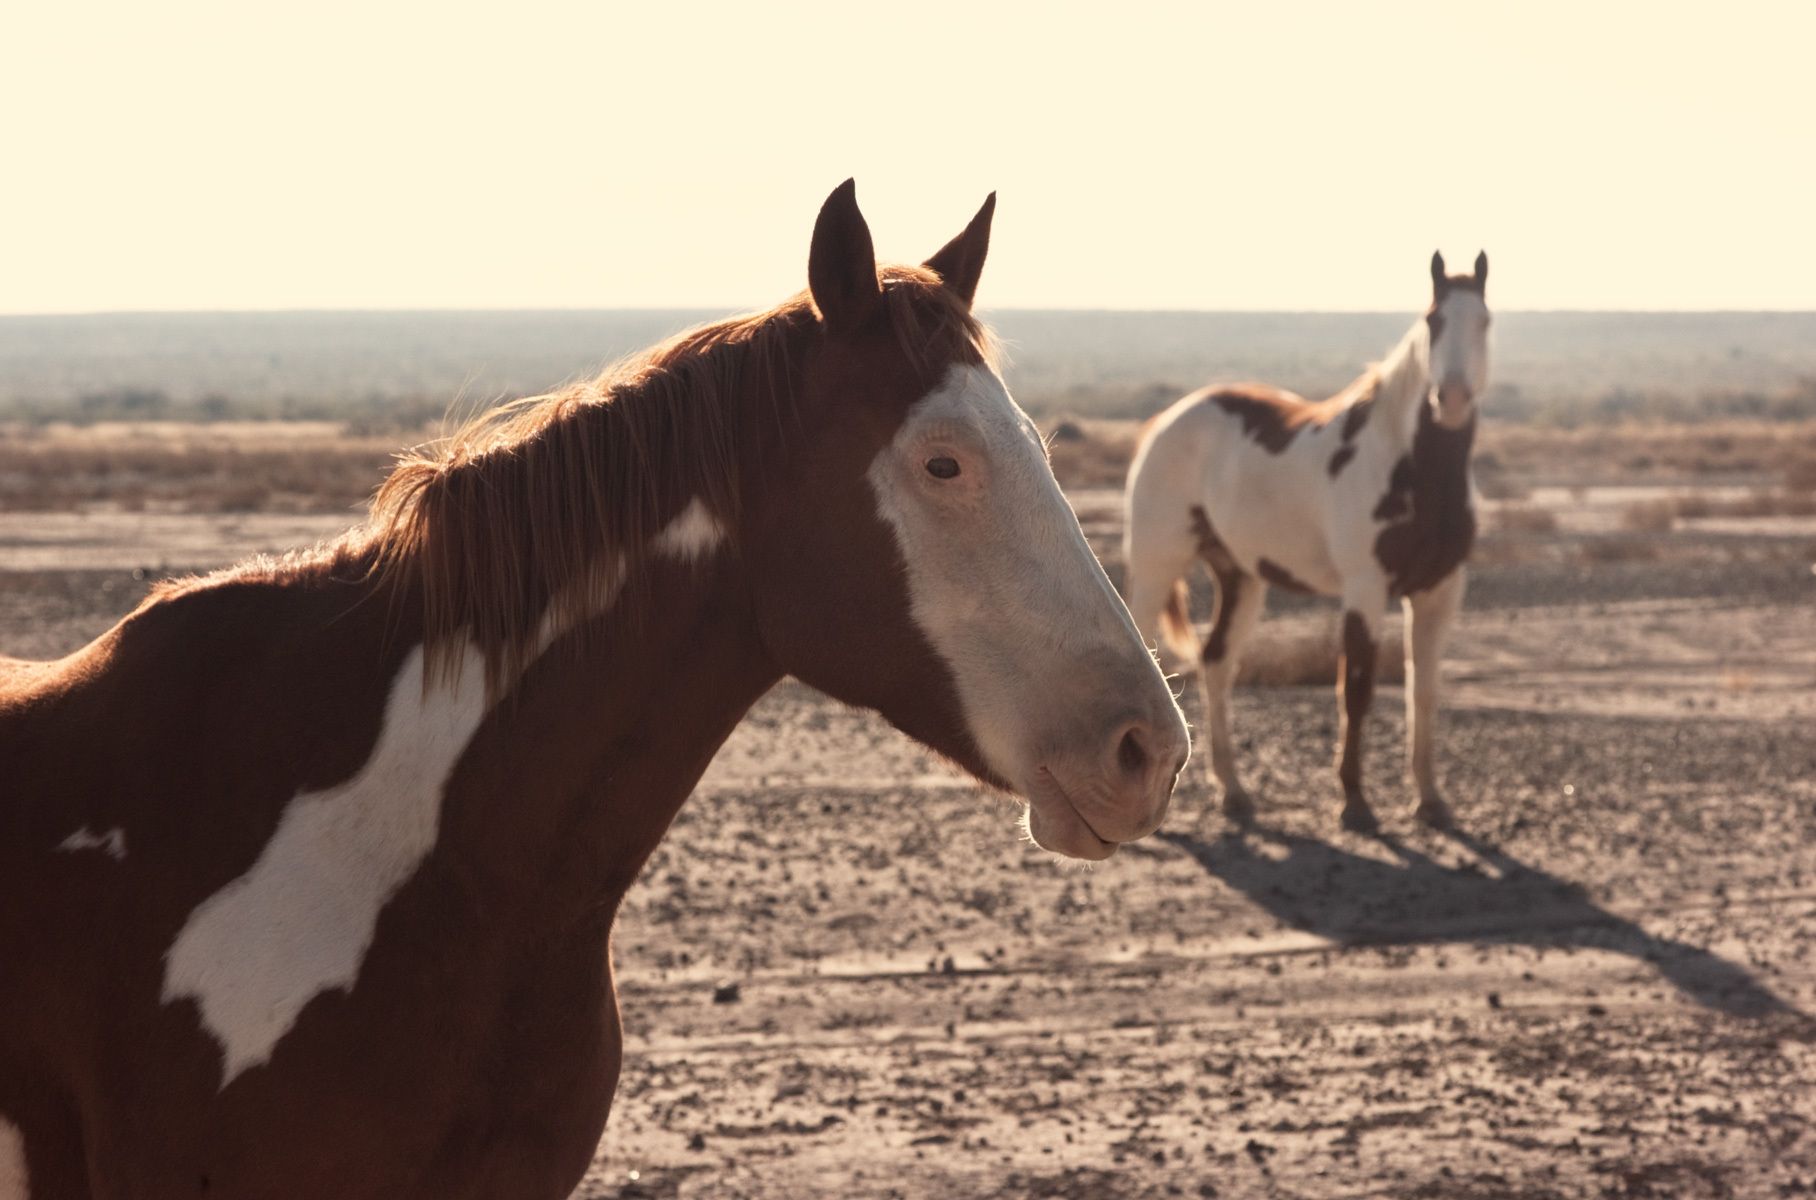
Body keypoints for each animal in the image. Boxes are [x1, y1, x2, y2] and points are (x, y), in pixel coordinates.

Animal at [1123, 251, 1490, 834]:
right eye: (1433, 321)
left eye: (1484, 322)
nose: (1450, 399)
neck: (1410, 467)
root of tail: (1165, 421)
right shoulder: (1364, 590)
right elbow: (1355, 691)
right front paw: (1355, 803)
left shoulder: (1440, 591)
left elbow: (1424, 692)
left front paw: (1431, 800)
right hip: (1159, 566)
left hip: (1241, 578)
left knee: (1217, 663)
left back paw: (1234, 791)